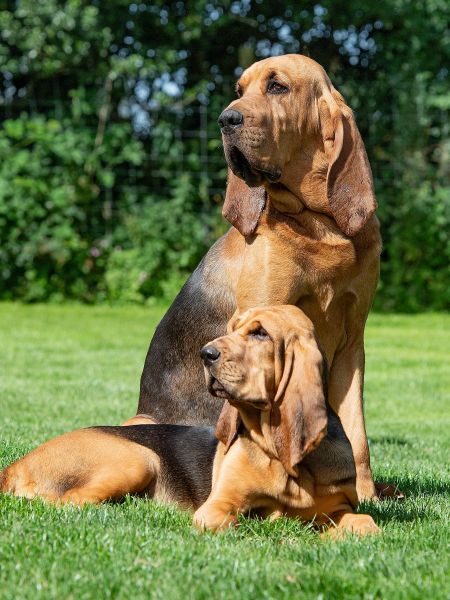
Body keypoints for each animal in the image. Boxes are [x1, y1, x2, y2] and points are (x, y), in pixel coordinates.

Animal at [0, 308, 378, 536]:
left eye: (260, 334)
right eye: (233, 329)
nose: (205, 354)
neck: (281, 457)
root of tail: (15, 466)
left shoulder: (340, 508)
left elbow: (365, 523)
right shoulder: (217, 509)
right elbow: (255, 525)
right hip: (140, 458)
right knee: (68, 502)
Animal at [140, 54, 384, 502]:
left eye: (277, 87)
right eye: (239, 90)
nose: (225, 119)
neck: (318, 223)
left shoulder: (351, 347)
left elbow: (356, 433)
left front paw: (365, 495)